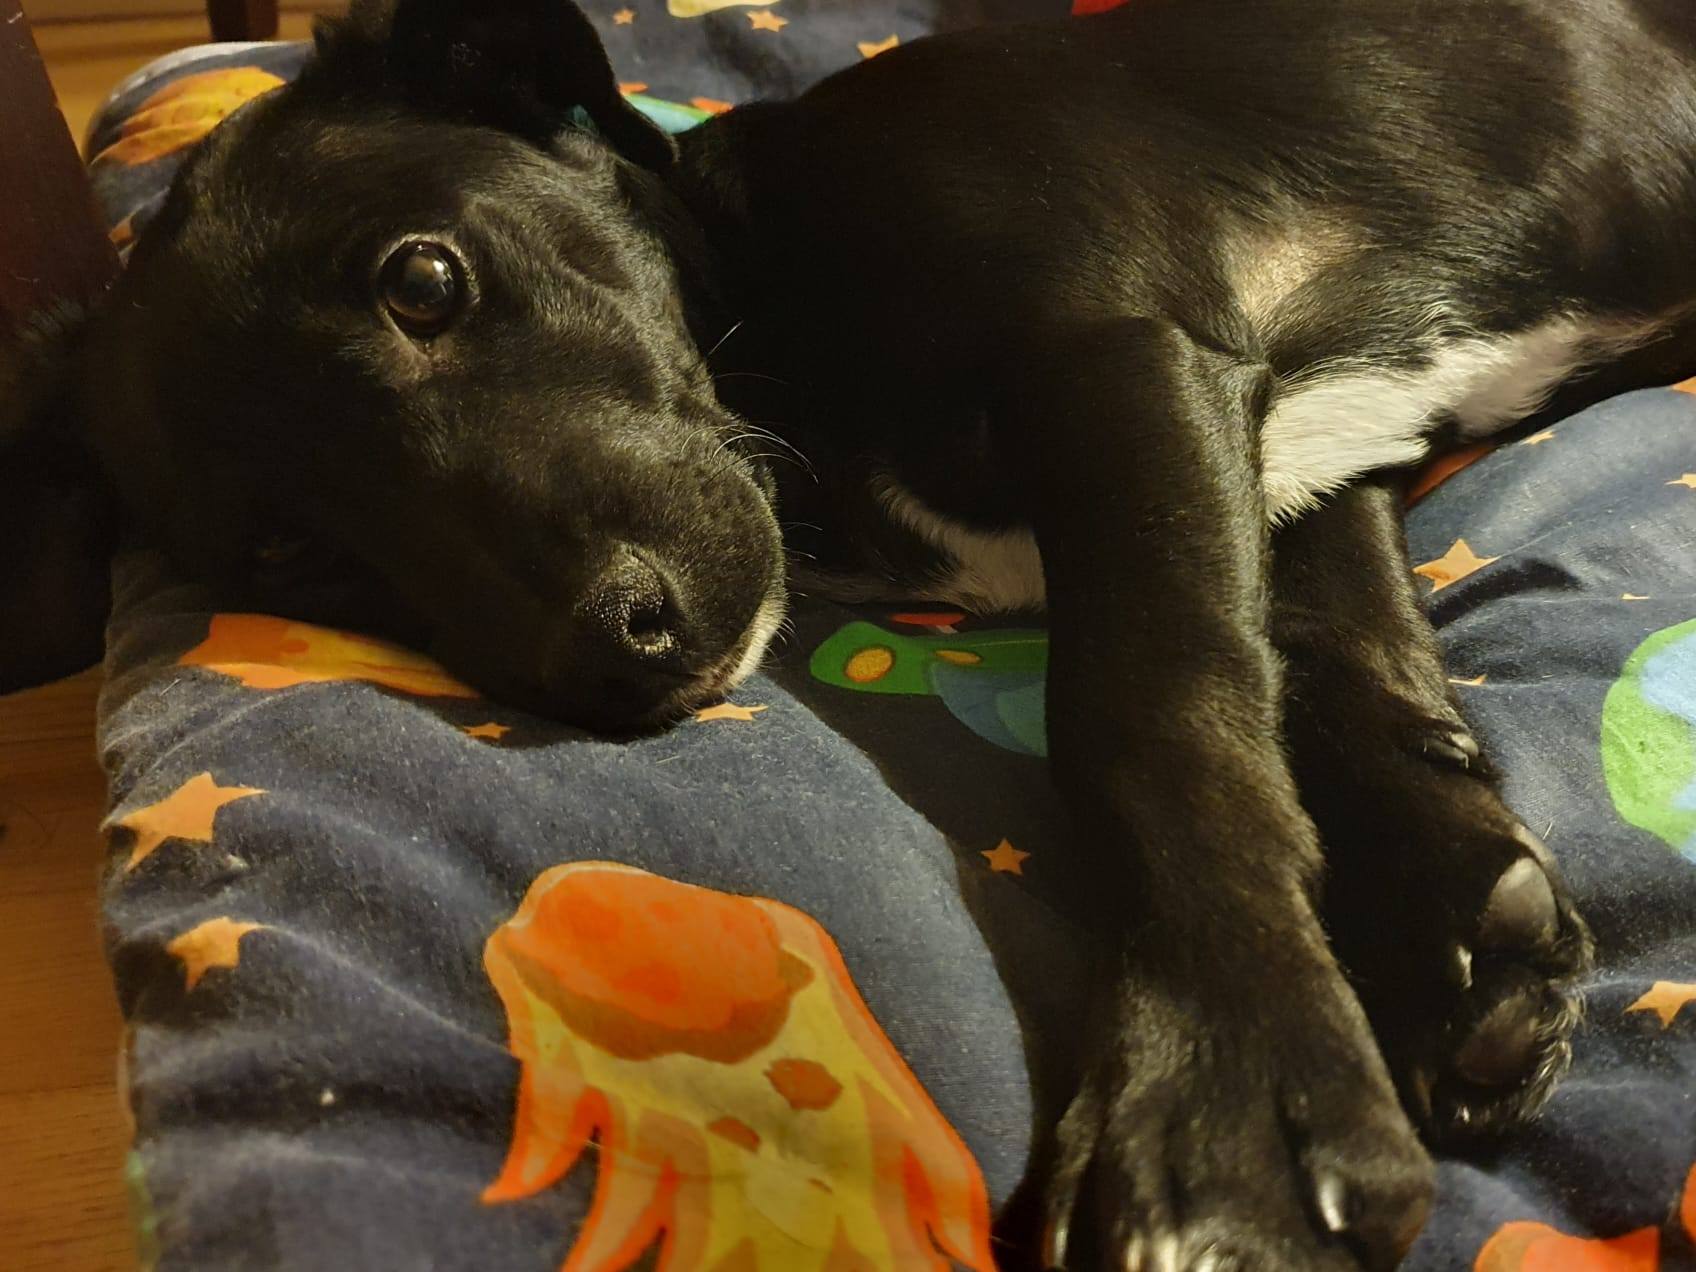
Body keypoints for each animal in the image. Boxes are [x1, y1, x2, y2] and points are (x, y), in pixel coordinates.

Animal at [12, 0, 1693, 1263]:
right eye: (292, 550)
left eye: (423, 277)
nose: (613, 644)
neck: (772, 295)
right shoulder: (1298, 452)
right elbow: (1331, 667)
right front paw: (1456, 929)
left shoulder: (1124, 364)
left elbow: (1154, 711)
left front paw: (1226, 1097)